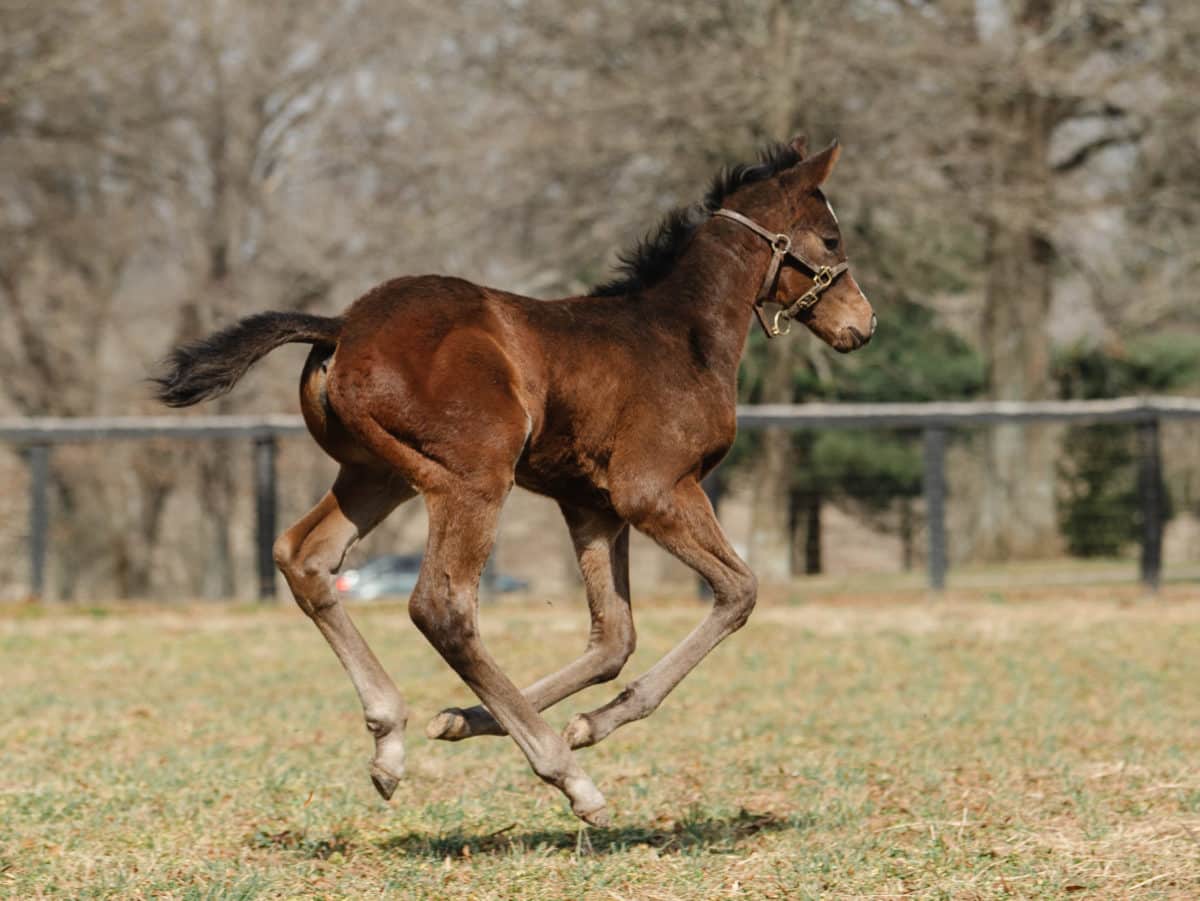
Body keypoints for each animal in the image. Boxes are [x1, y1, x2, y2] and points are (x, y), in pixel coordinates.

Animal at [157, 135, 873, 825]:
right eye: (831, 239)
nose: (862, 326)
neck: (681, 336)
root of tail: (344, 326)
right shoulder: (654, 491)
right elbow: (737, 592)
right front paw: (586, 728)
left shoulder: (592, 508)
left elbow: (614, 639)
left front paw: (465, 719)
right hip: (473, 476)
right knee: (441, 607)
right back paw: (569, 778)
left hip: (376, 473)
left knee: (305, 557)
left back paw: (390, 742)